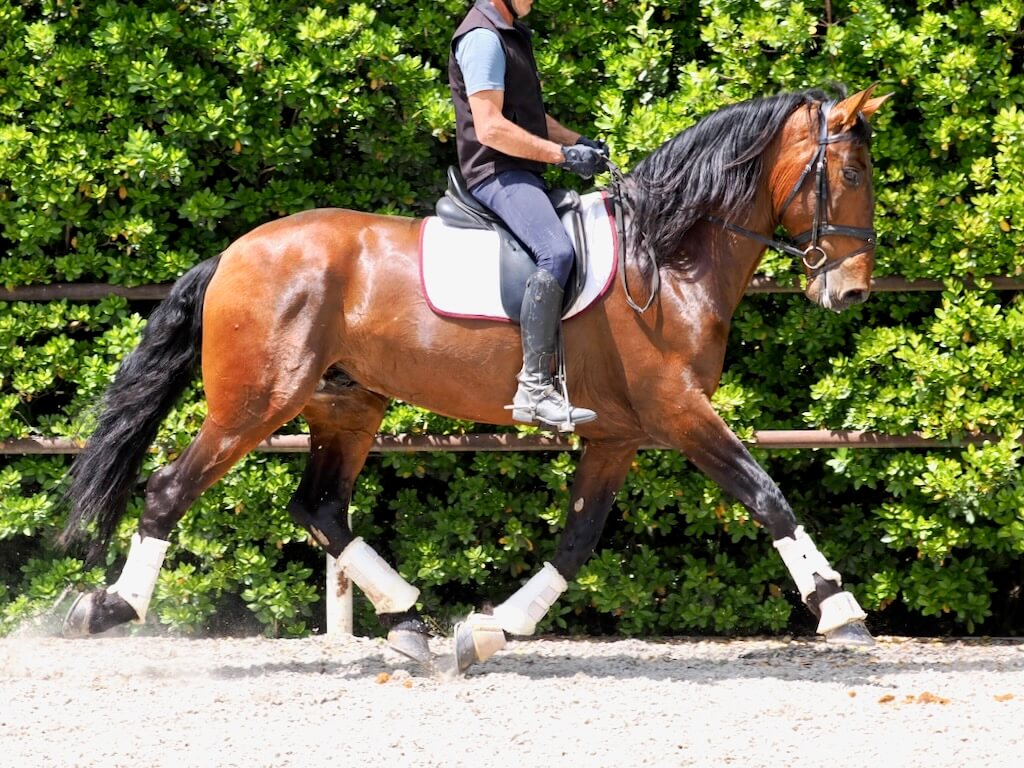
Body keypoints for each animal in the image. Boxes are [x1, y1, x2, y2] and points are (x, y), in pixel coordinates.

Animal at [59, 85, 890, 675]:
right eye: (849, 173)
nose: (851, 291)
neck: (665, 258)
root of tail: (233, 253)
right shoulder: (678, 411)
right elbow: (766, 494)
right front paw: (839, 606)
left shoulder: (619, 433)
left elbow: (577, 540)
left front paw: (490, 630)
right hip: (256, 403)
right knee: (172, 488)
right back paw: (108, 609)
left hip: (347, 405)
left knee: (320, 507)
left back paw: (407, 624)